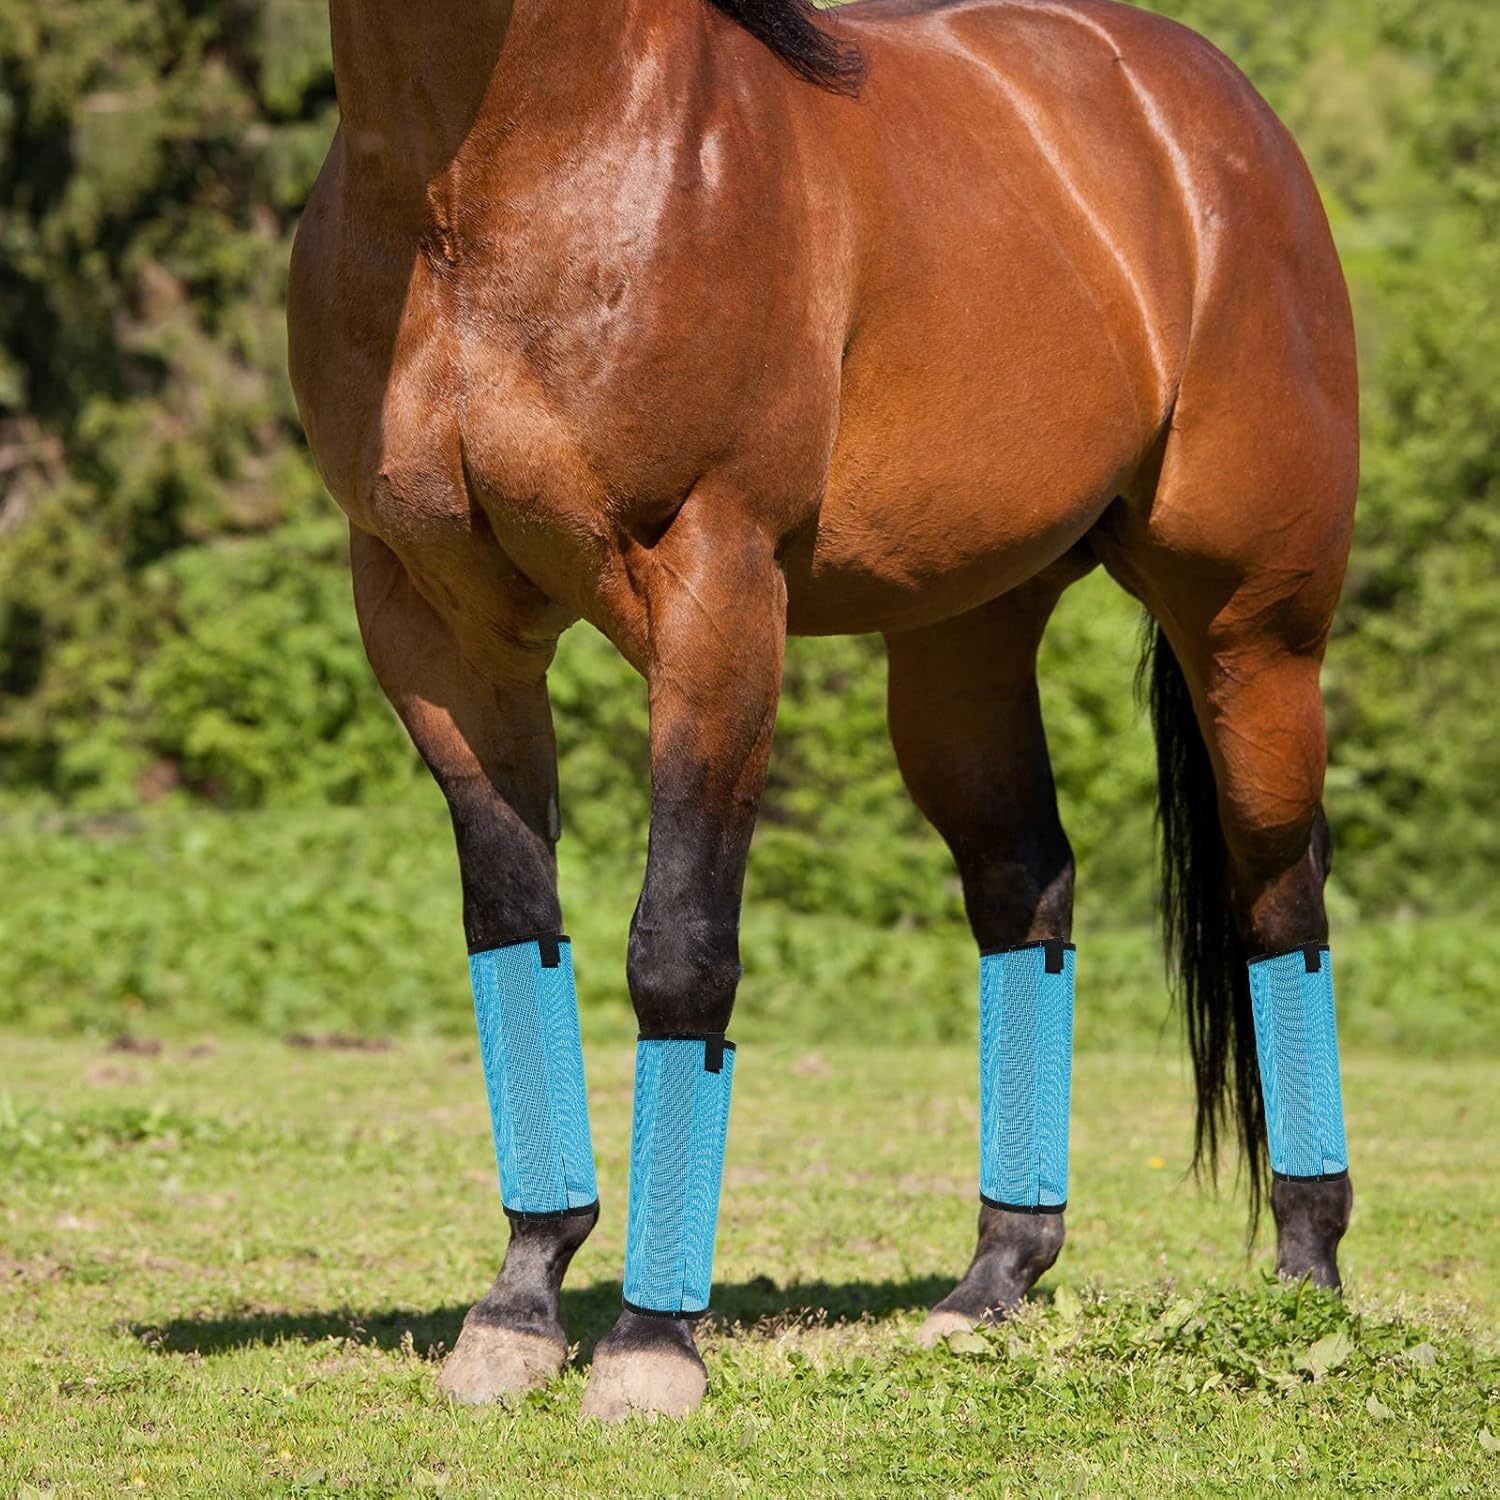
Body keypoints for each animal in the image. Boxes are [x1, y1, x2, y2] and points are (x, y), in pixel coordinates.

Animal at [287, 0, 1358, 1420]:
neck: (482, 191)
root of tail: (1219, 119)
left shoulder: (718, 594)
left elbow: (679, 951)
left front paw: (649, 1344)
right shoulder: (436, 628)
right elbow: (515, 934)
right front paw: (517, 1308)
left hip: (1251, 630)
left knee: (1278, 895)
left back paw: (1306, 1278)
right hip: (964, 639)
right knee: (1028, 888)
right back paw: (993, 1281)